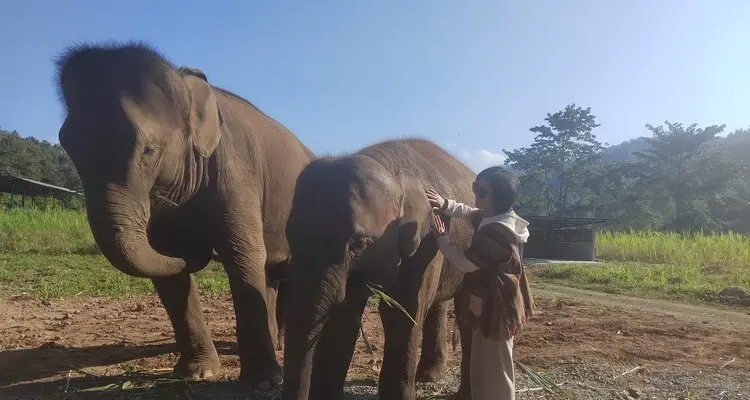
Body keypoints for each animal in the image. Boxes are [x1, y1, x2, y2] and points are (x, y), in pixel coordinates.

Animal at [54, 41, 314, 390]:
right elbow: (167, 271)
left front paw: (264, 383)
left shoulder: (235, 169)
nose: (197, 251)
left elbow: (242, 255)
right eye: (69, 147)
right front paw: (196, 373)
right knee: (272, 273)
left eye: (149, 150)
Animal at [283, 138, 478, 400]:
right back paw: (430, 375)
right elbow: (345, 314)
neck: (391, 169)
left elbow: (404, 310)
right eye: (290, 237)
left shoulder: (428, 240)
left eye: (358, 245)